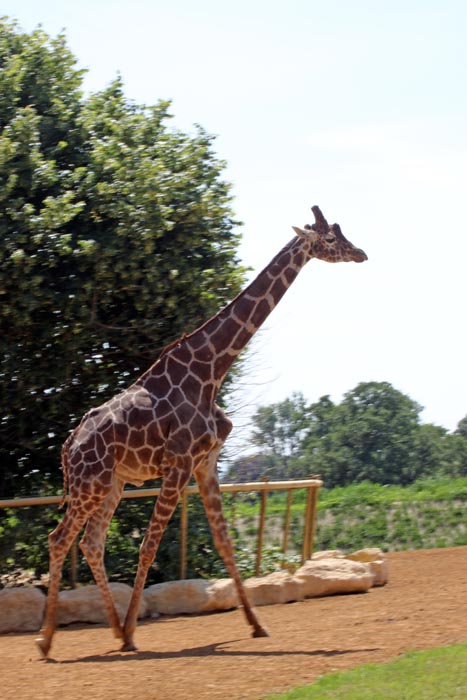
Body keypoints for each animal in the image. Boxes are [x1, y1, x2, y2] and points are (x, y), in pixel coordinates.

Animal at [36, 205, 367, 658]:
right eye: (330, 239)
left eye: (341, 232)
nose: (361, 254)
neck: (211, 371)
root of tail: (69, 447)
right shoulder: (179, 464)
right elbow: (149, 546)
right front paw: (135, 631)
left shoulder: (205, 462)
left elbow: (225, 542)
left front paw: (257, 626)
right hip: (92, 483)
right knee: (60, 539)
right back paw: (48, 640)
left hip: (113, 484)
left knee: (90, 542)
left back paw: (113, 632)